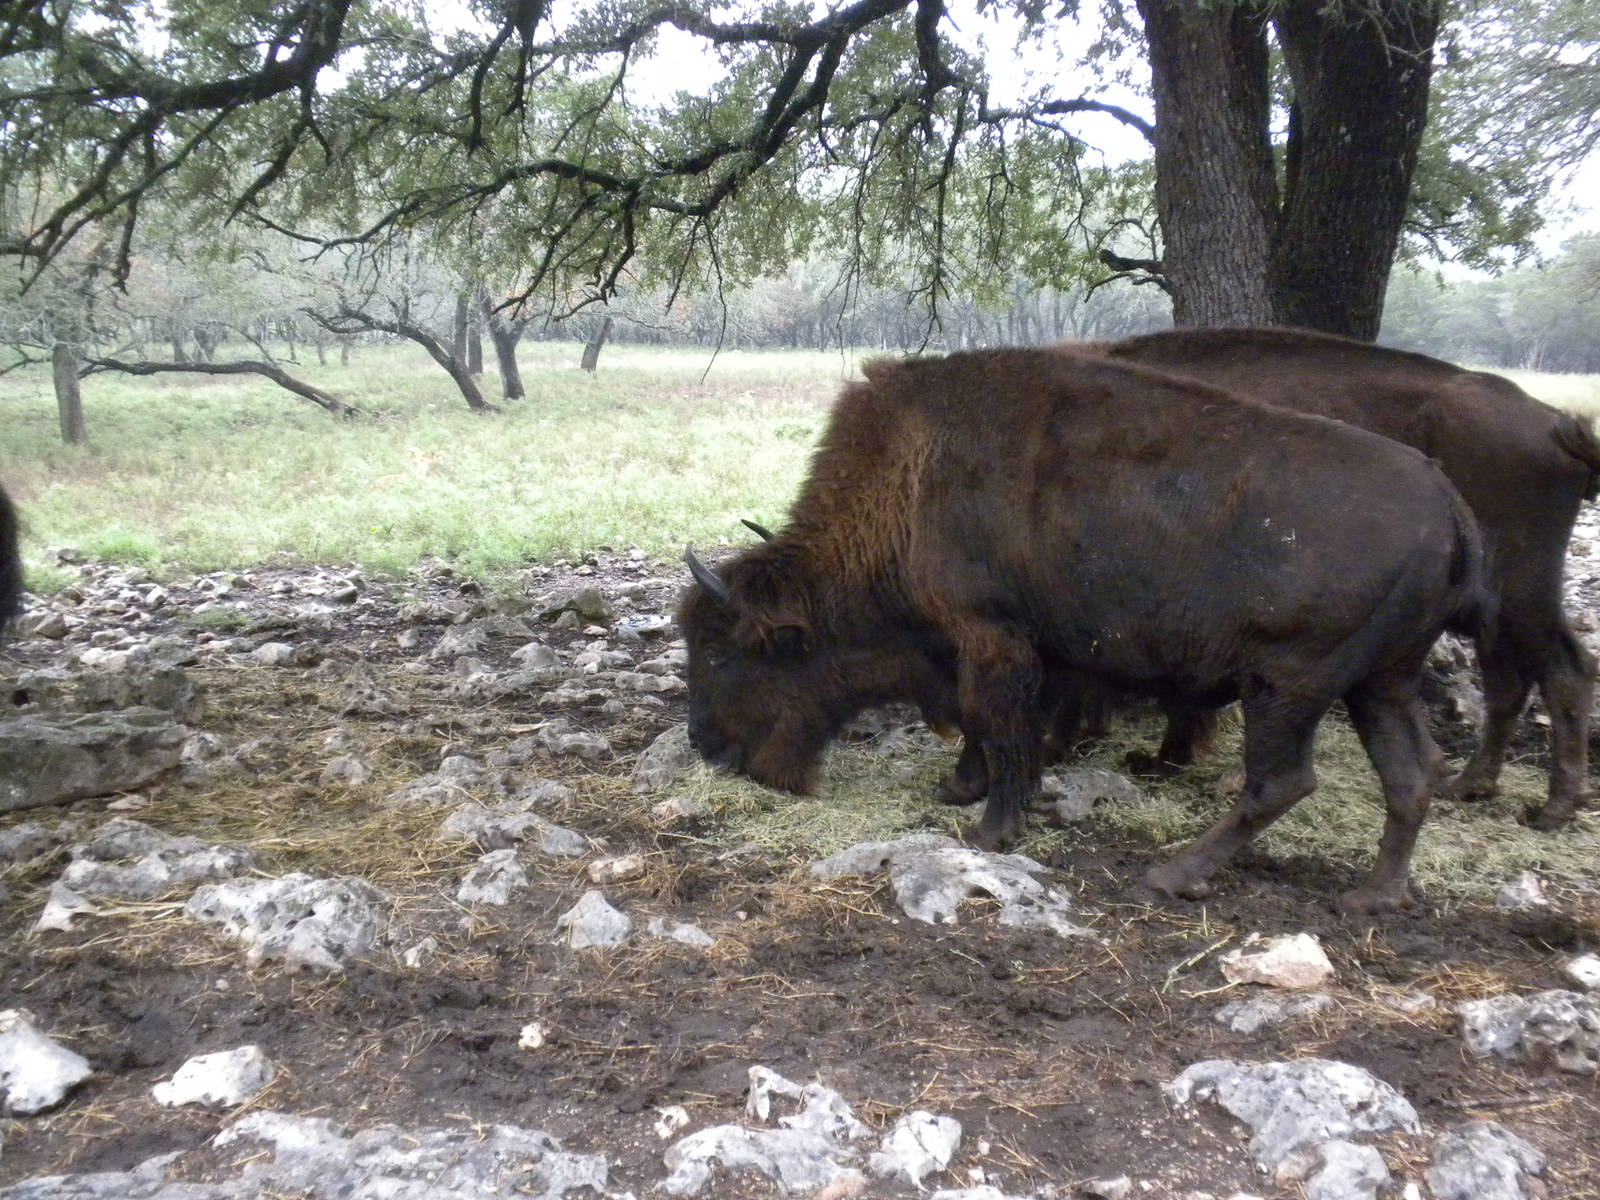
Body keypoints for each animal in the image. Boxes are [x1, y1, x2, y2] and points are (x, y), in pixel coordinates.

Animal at [680, 348, 1488, 912]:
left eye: (718, 652)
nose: (705, 745)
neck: (911, 484)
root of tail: (1448, 499)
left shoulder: (990, 636)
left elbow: (999, 723)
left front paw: (990, 829)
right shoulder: (998, 650)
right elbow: (987, 723)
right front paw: (961, 787)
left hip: (1289, 686)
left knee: (1281, 781)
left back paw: (1171, 874)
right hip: (1380, 683)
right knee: (1411, 773)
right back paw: (1373, 896)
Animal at [1089, 327, 1600, 829]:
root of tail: (1553, 423)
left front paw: (1165, 759)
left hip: (1520, 588)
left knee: (1564, 669)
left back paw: (1553, 810)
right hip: (1497, 605)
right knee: (1509, 680)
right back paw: (1469, 785)